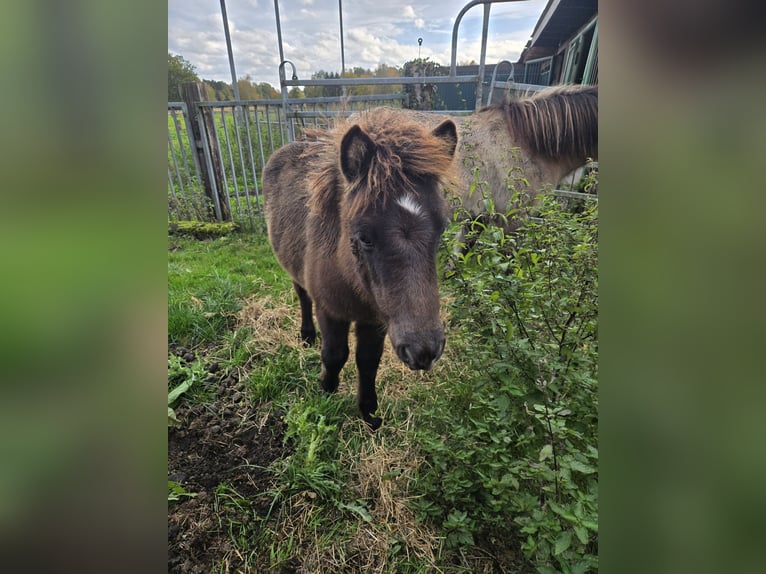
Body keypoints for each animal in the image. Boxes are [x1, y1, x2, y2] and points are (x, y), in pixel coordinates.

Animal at [262, 108, 458, 430]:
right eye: (364, 236)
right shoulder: (330, 309)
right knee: (302, 295)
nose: (424, 351)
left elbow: (368, 362)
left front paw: (370, 414)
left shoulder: (376, 319)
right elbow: (334, 354)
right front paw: (326, 391)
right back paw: (306, 335)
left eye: (441, 228)